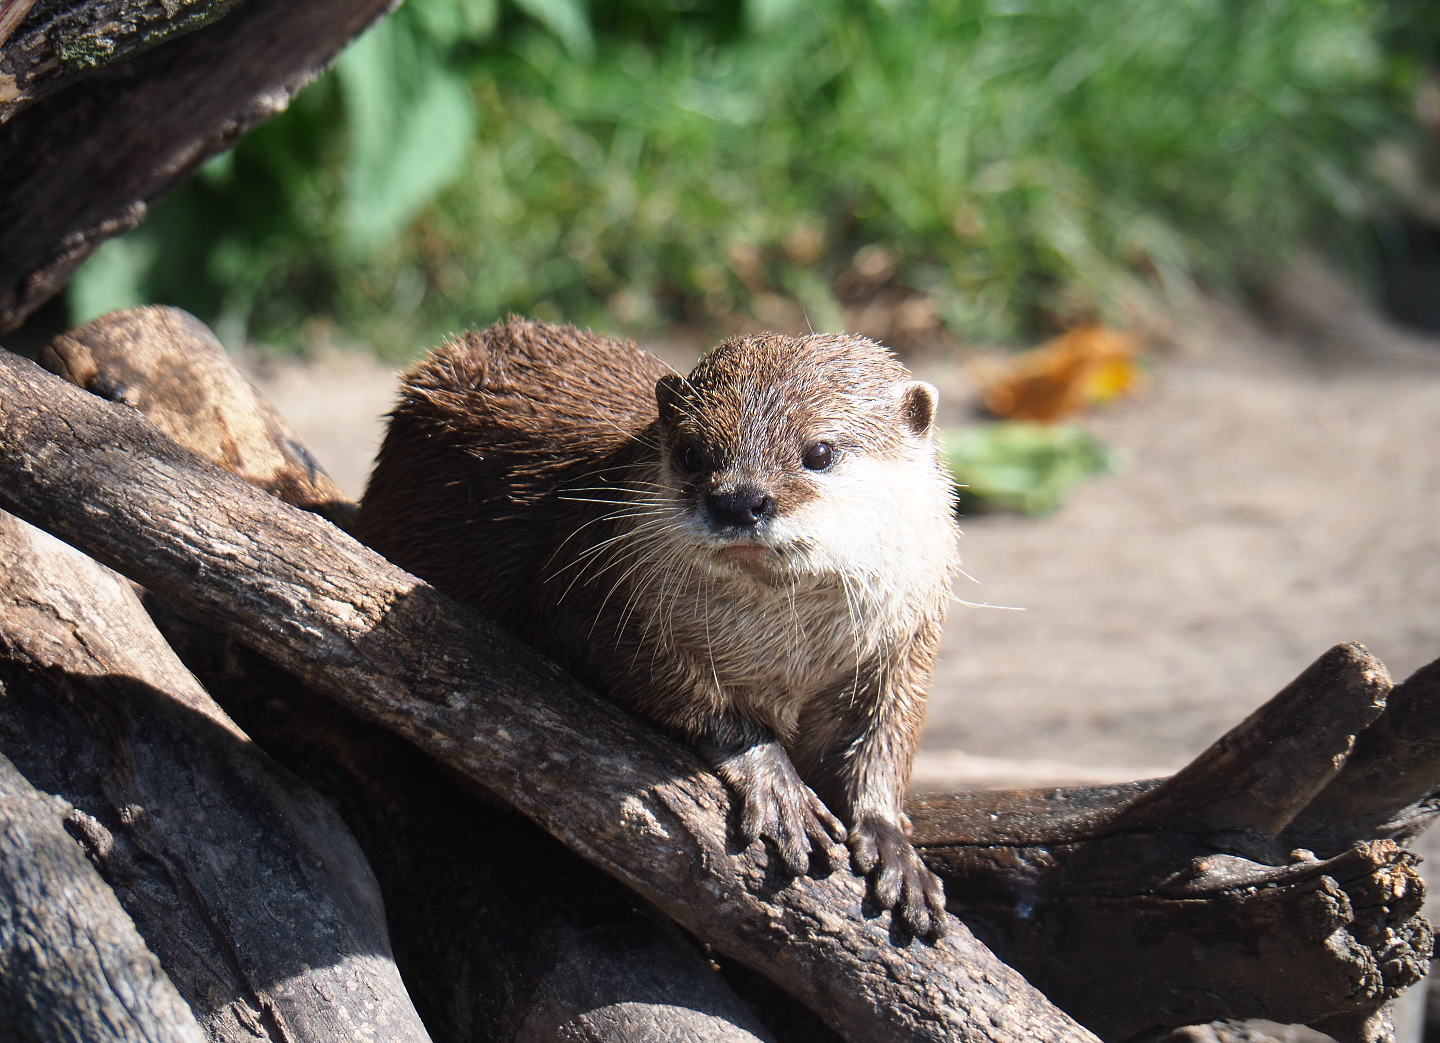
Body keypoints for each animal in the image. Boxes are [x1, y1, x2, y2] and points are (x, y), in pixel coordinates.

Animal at [359, 319, 960, 936]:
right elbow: (670, 689)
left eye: (819, 452)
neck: (785, 657)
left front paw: (893, 846)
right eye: (692, 453)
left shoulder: (905, 648)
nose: (739, 500)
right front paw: (774, 777)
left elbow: (883, 741)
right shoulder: (588, 598)